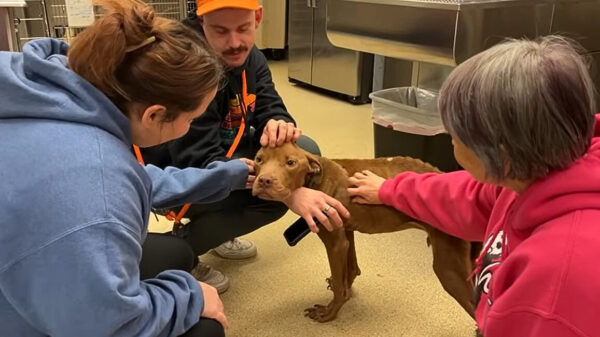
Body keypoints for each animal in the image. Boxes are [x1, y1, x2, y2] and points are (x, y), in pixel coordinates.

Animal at [250, 142, 478, 320]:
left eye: (290, 163)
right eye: (259, 159)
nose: (264, 181)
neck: (316, 179)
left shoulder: (335, 243)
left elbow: (340, 284)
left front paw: (329, 313)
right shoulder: (347, 235)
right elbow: (350, 272)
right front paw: (343, 291)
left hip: (449, 269)